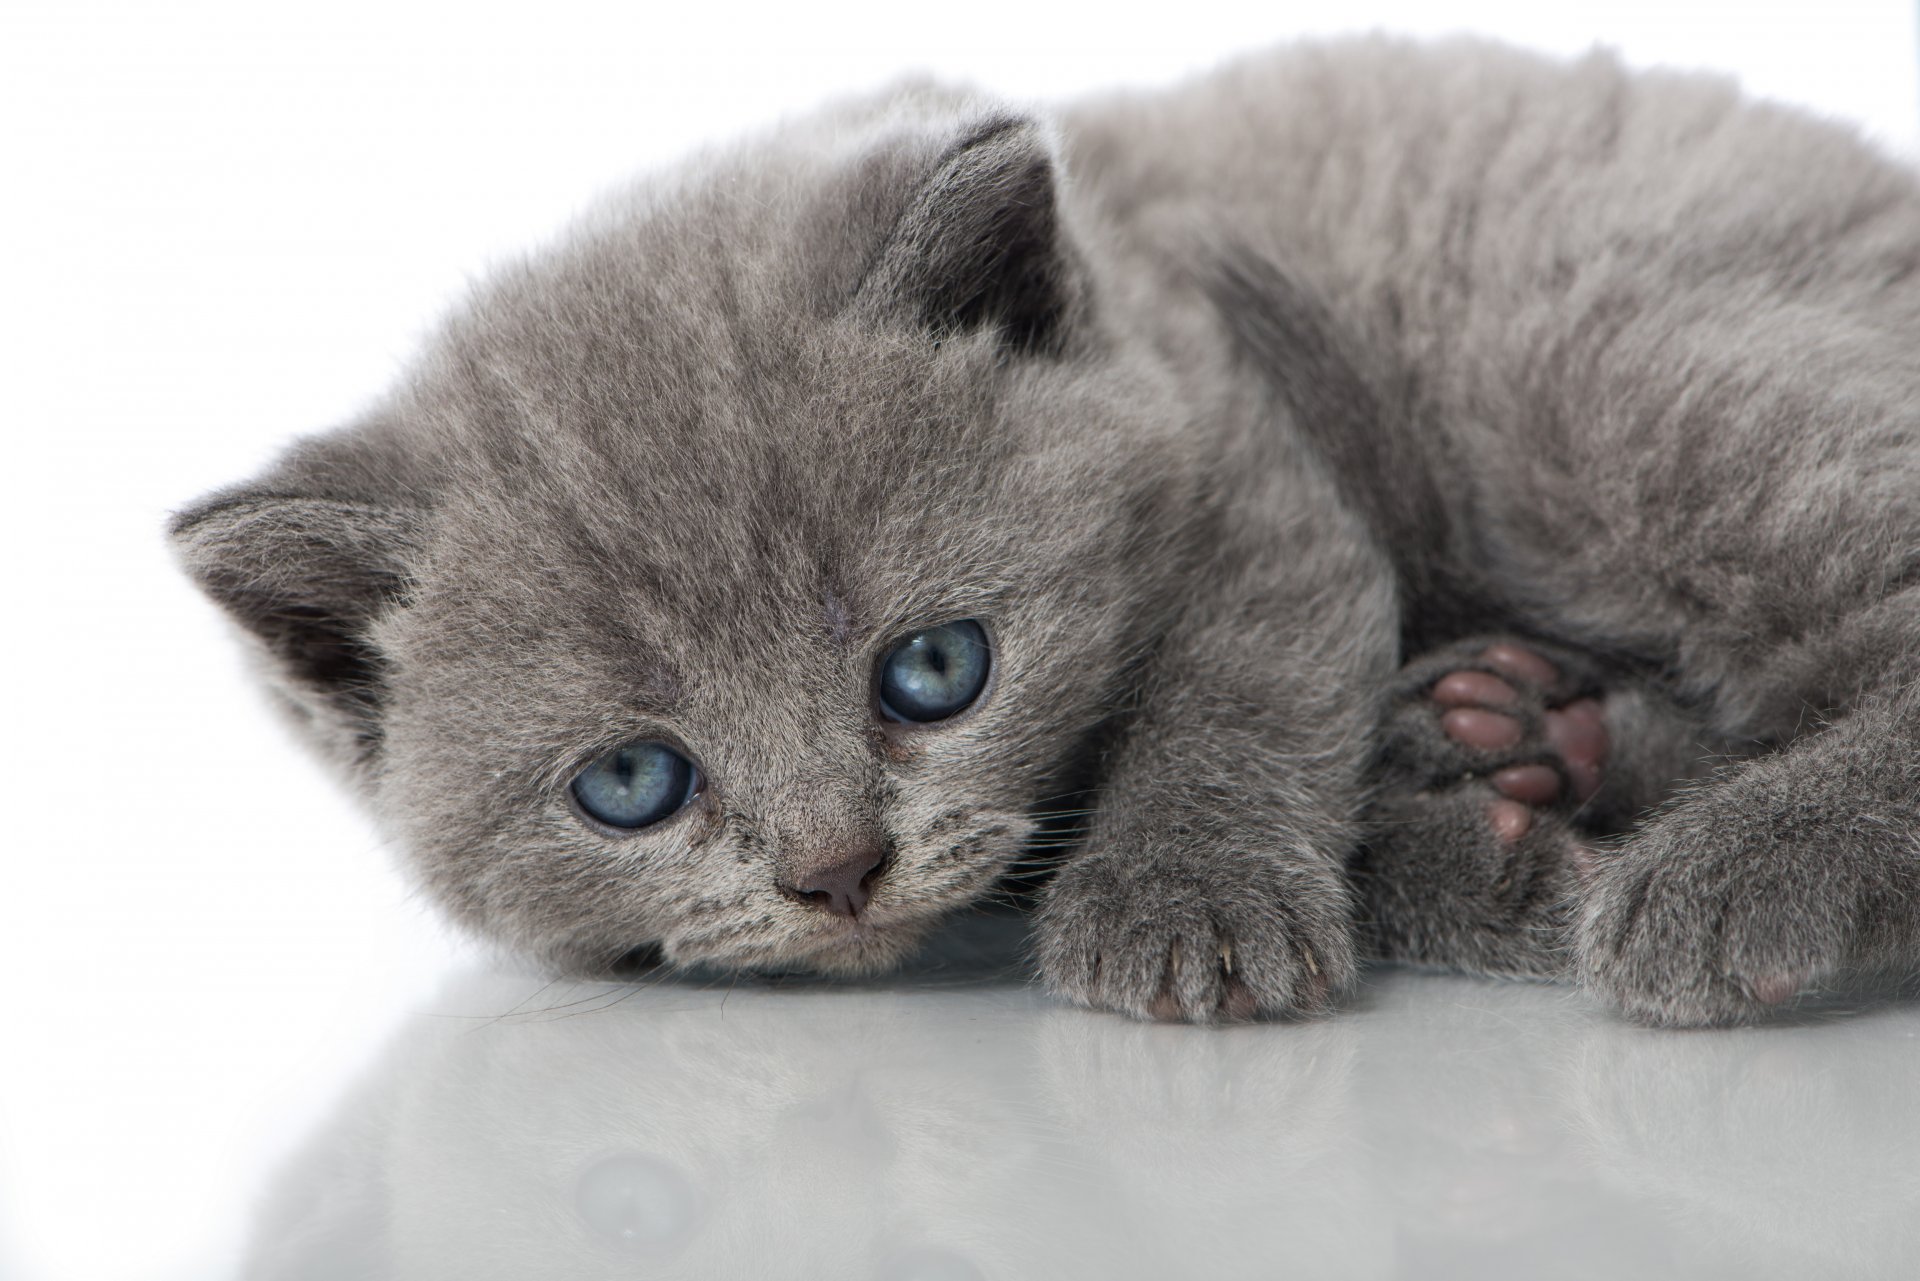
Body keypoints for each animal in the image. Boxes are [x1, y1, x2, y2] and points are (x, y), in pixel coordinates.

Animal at [172, 35, 1920, 1029]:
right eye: (630, 784)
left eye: (936, 669)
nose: (836, 872)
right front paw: (1479, 837)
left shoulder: (1238, 431)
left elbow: (1240, 676)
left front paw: (1184, 902)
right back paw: (1532, 729)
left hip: (1580, 365)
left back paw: (1725, 868)